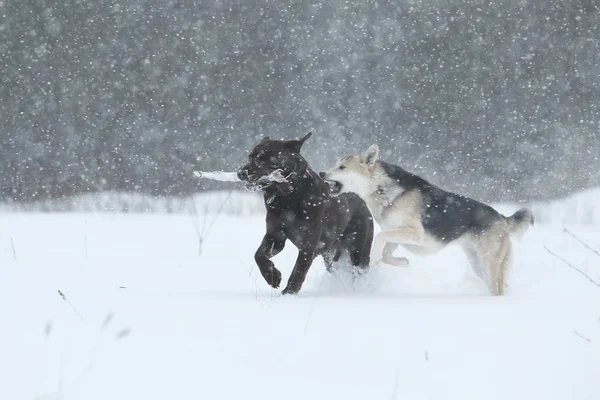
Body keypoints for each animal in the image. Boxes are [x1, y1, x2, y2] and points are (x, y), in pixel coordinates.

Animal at [237, 133, 372, 296]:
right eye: (250, 156)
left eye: (264, 157)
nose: (241, 172)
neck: (287, 197)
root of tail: (360, 199)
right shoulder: (275, 236)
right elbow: (259, 255)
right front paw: (273, 277)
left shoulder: (308, 244)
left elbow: (299, 270)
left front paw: (289, 293)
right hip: (330, 255)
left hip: (359, 250)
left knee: (360, 272)